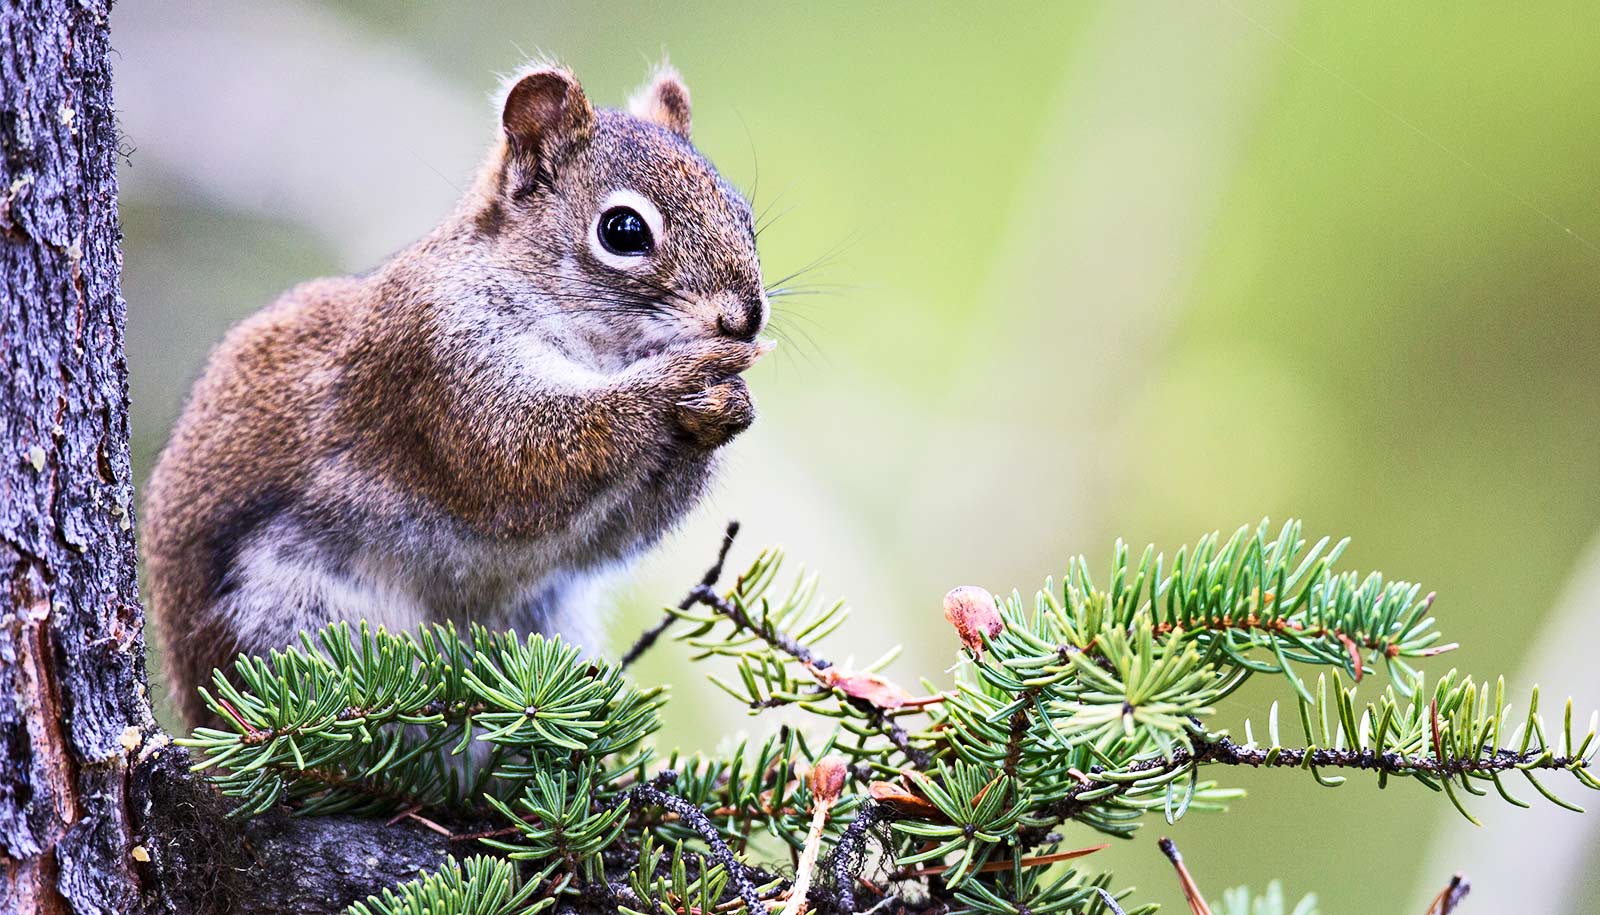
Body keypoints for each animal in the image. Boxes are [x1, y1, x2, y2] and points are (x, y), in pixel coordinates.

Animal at [147, 62, 771, 729]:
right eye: (623, 231)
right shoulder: (434, 360)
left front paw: (727, 407)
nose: (745, 320)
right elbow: (525, 455)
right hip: (289, 620)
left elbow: (612, 534)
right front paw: (685, 376)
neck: (598, 350)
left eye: (742, 211)